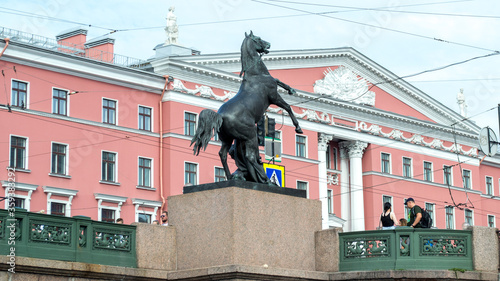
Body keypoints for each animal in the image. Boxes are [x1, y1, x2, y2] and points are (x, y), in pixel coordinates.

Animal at [190, 30, 300, 184]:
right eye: (258, 38)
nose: (268, 44)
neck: (256, 74)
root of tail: (220, 115)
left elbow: (278, 80)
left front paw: (291, 89)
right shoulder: (274, 97)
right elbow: (288, 107)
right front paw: (298, 127)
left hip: (227, 139)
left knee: (223, 154)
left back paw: (232, 177)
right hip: (250, 135)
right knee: (250, 156)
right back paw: (265, 180)